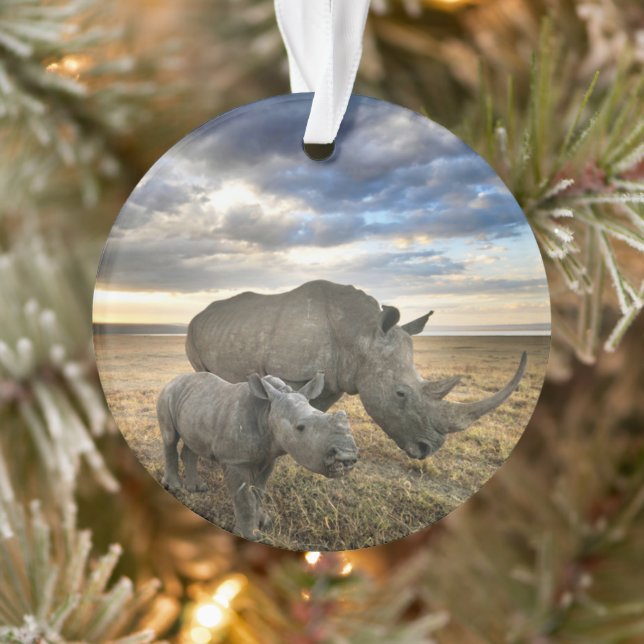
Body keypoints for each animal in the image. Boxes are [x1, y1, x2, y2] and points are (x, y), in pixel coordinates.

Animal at [157, 371, 358, 540]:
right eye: (300, 428)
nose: (347, 456)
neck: (267, 410)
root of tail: (174, 380)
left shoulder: (269, 457)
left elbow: (259, 491)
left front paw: (264, 523)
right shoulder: (235, 460)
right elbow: (244, 497)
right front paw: (250, 535)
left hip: (196, 406)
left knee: (192, 442)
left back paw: (196, 488)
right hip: (167, 395)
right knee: (170, 438)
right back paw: (174, 487)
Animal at [186, 280, 527, 460]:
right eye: (400, 394)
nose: (428, 449)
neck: (361, 334)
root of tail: (199, 314)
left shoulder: (336, 377)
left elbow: (315, 410)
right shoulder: (291, 371)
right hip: (193, 331)